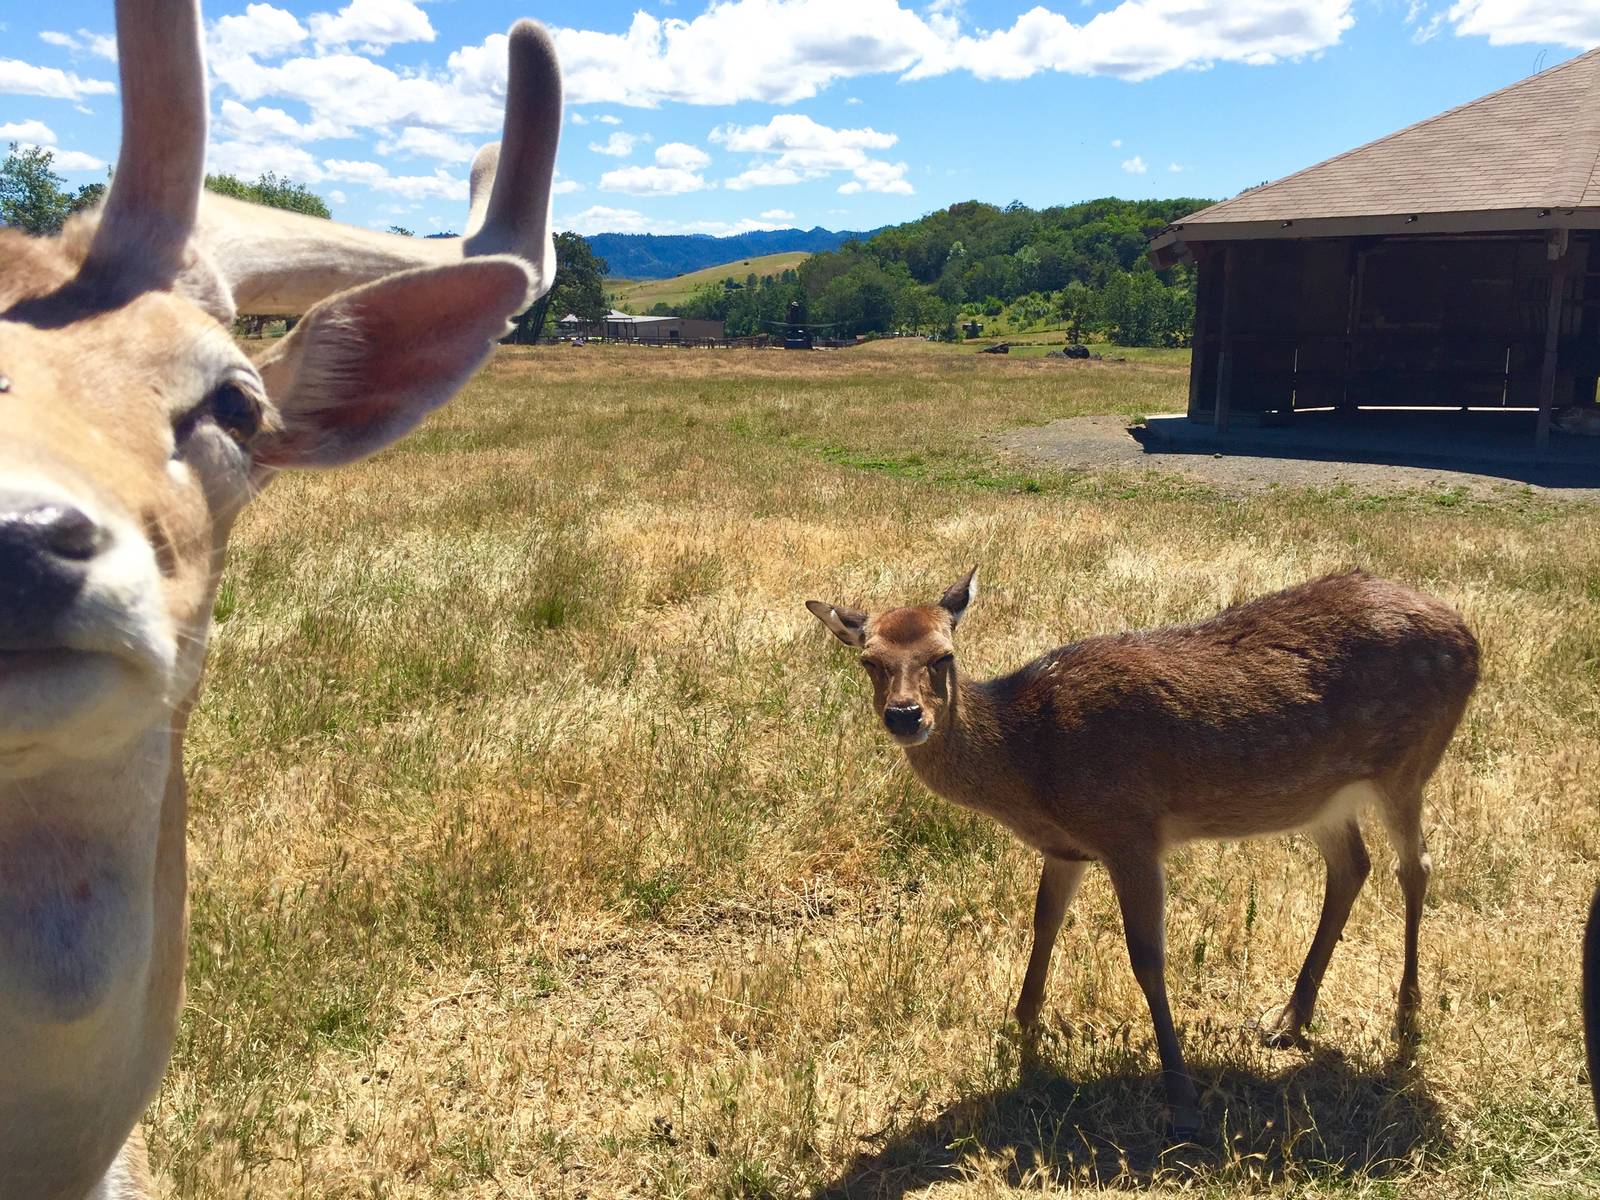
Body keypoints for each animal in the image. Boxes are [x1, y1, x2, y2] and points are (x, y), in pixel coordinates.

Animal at [807, 568, 1478, 1137]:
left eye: (943, 656)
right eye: (869, 660)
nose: (904, 716)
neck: (1032, 766)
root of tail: (1470, 639)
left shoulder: (1129, 829)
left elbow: (1147, 958)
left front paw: (1181, 1096)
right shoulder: (1070, 847)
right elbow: (1044, 922)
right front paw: (1022, 1028)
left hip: (1408, 763)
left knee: (1415, 866)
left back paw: (1405, 1017)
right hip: (1319, 797)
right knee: (1352, 866)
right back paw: (1288, 1018)